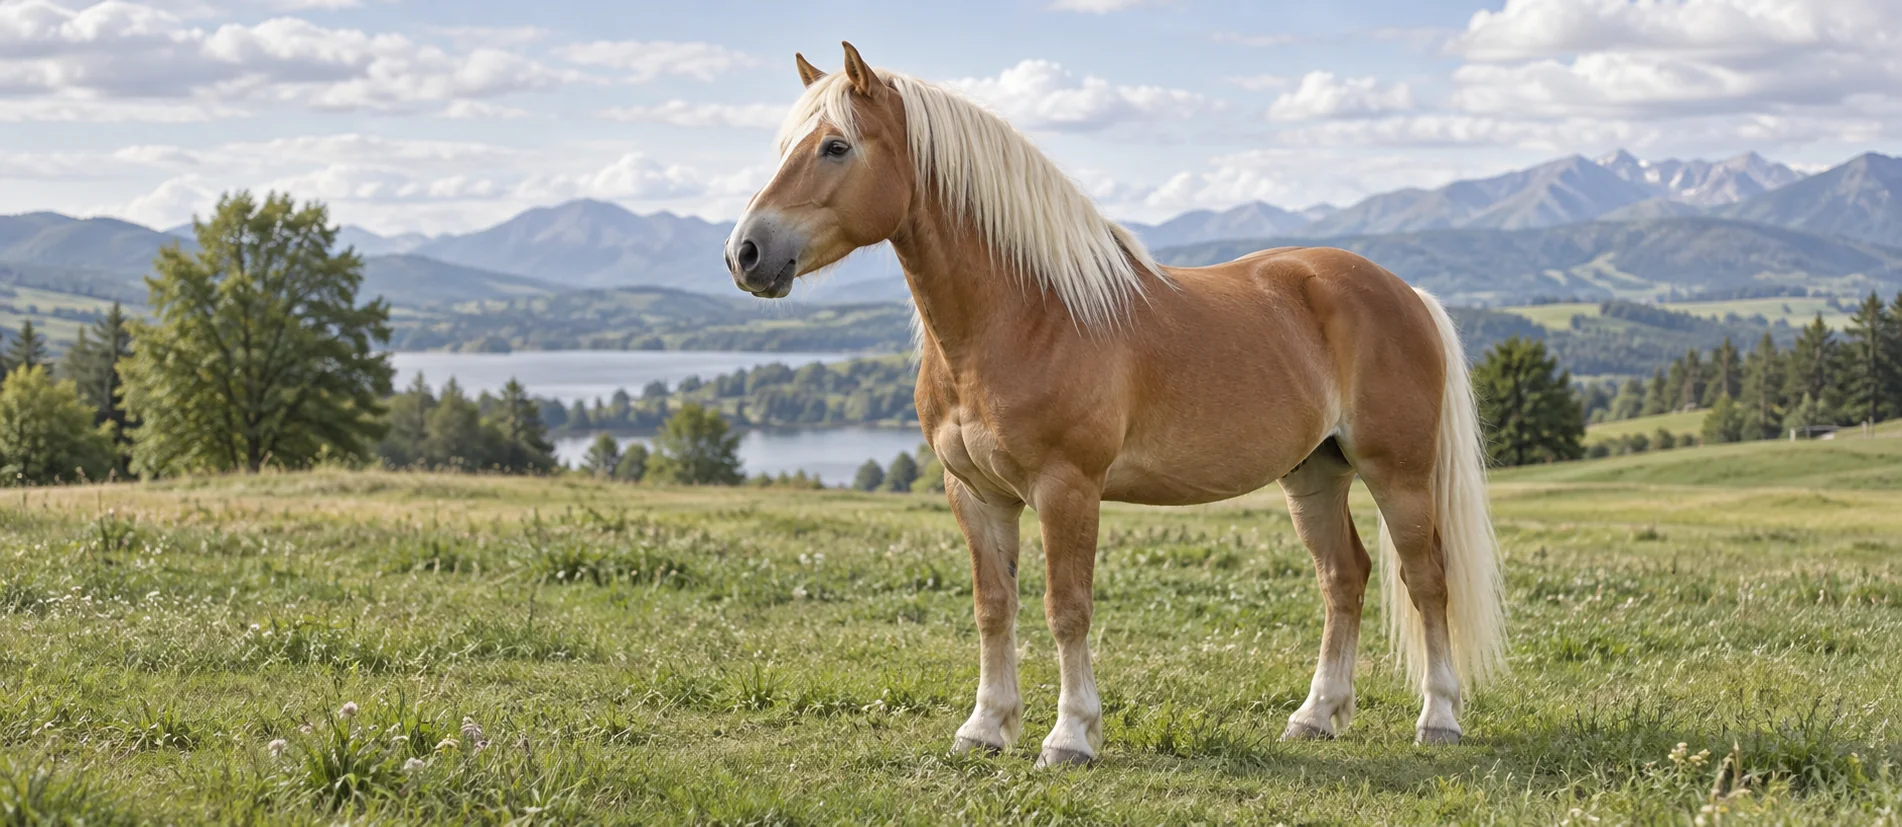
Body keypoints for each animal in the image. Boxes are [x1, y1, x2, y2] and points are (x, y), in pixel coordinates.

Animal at [724, 42, 1505, 767]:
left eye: (836, 146)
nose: (746, 253)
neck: (1023, 315)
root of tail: (1404, 292)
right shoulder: (974, 492)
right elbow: (993, 607)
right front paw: (985, 728)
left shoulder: (1067, 487)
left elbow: (1066, 609)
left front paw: (1070, 736)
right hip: (1315, 473)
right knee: (1344, 577)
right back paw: (1317, 715)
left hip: (1398, 473)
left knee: (1425, 579)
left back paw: (1439, 718)